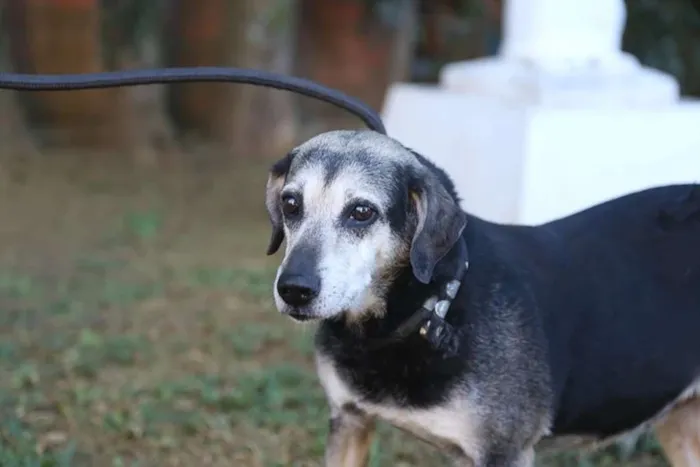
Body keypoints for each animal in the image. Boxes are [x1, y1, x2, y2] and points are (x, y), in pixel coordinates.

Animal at [264, 129, 700, 467]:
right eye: (291, 203)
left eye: (361, 212)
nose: (294, 290)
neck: (431, 308)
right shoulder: (350, 419)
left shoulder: (504, 451)